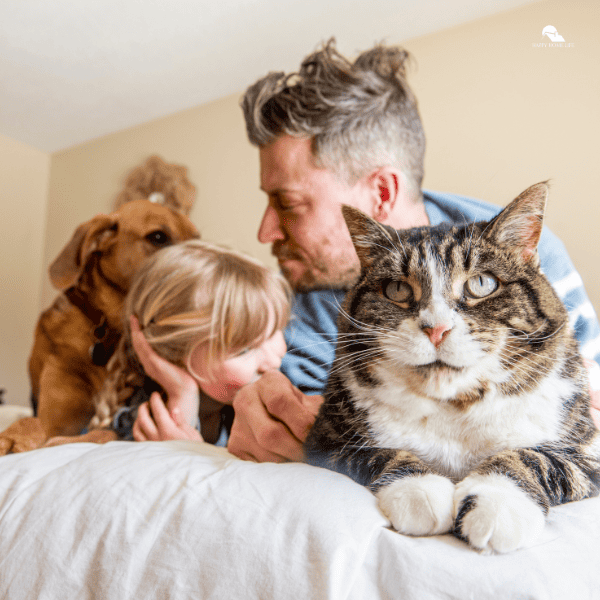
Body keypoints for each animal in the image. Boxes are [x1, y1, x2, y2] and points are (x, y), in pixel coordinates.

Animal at [0, 199, 202, 452]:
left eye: (199, 242)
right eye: (158, 237)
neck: (111, 332)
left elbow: (105, 434)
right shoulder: (56, 415)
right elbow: (34, 422)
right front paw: (12, 438)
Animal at [304, 182, 600, 552]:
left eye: (482, 284)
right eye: (397, 289)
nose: (436, 328)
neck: (456, 404)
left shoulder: (589, 452)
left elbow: (536, 457)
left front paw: (497, 505)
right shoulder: (322, 444)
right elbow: (375, 452)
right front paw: (421, 492)